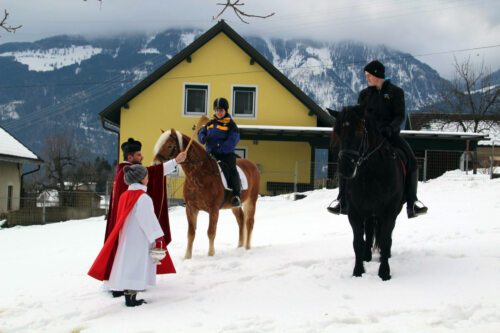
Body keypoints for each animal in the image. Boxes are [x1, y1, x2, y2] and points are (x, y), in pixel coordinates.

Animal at [152, 128, 262, 258]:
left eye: (169, 146)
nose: (155, 165)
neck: (200, 174)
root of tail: (253, 165)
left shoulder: (213, 209)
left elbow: (211, 232)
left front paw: (210, 254)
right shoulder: (191, 208)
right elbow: (191, 233)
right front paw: (187, 257)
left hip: (251, 200)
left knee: (249, 222)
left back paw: (247, 247)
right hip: (234, 206)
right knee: (241, 220)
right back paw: (240, 246)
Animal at [332, 104, 406, 280]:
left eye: (359, 131)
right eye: (338, 132)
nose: (345, 168)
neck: (371, 175)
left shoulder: (389, 212)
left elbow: (385, 240)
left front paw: (384, 272)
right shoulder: (355, 212)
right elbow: (358, 242)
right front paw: (358, 271)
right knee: (370, 231)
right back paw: (367, 256)